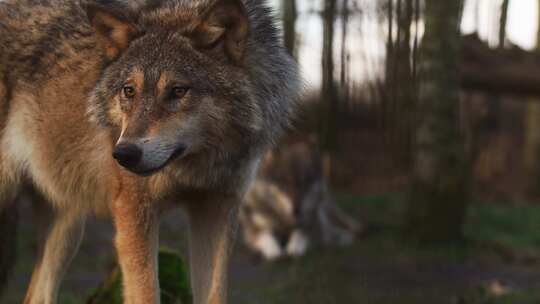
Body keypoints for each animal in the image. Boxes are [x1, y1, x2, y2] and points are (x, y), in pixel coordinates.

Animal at [0, 0, 300, 302]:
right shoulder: (135, 213)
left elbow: (215, 294)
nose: (123, 154)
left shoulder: (217, 209)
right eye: (129, 90)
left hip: (68, 224)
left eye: (178, 90)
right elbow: (146, 292)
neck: (198, 164)